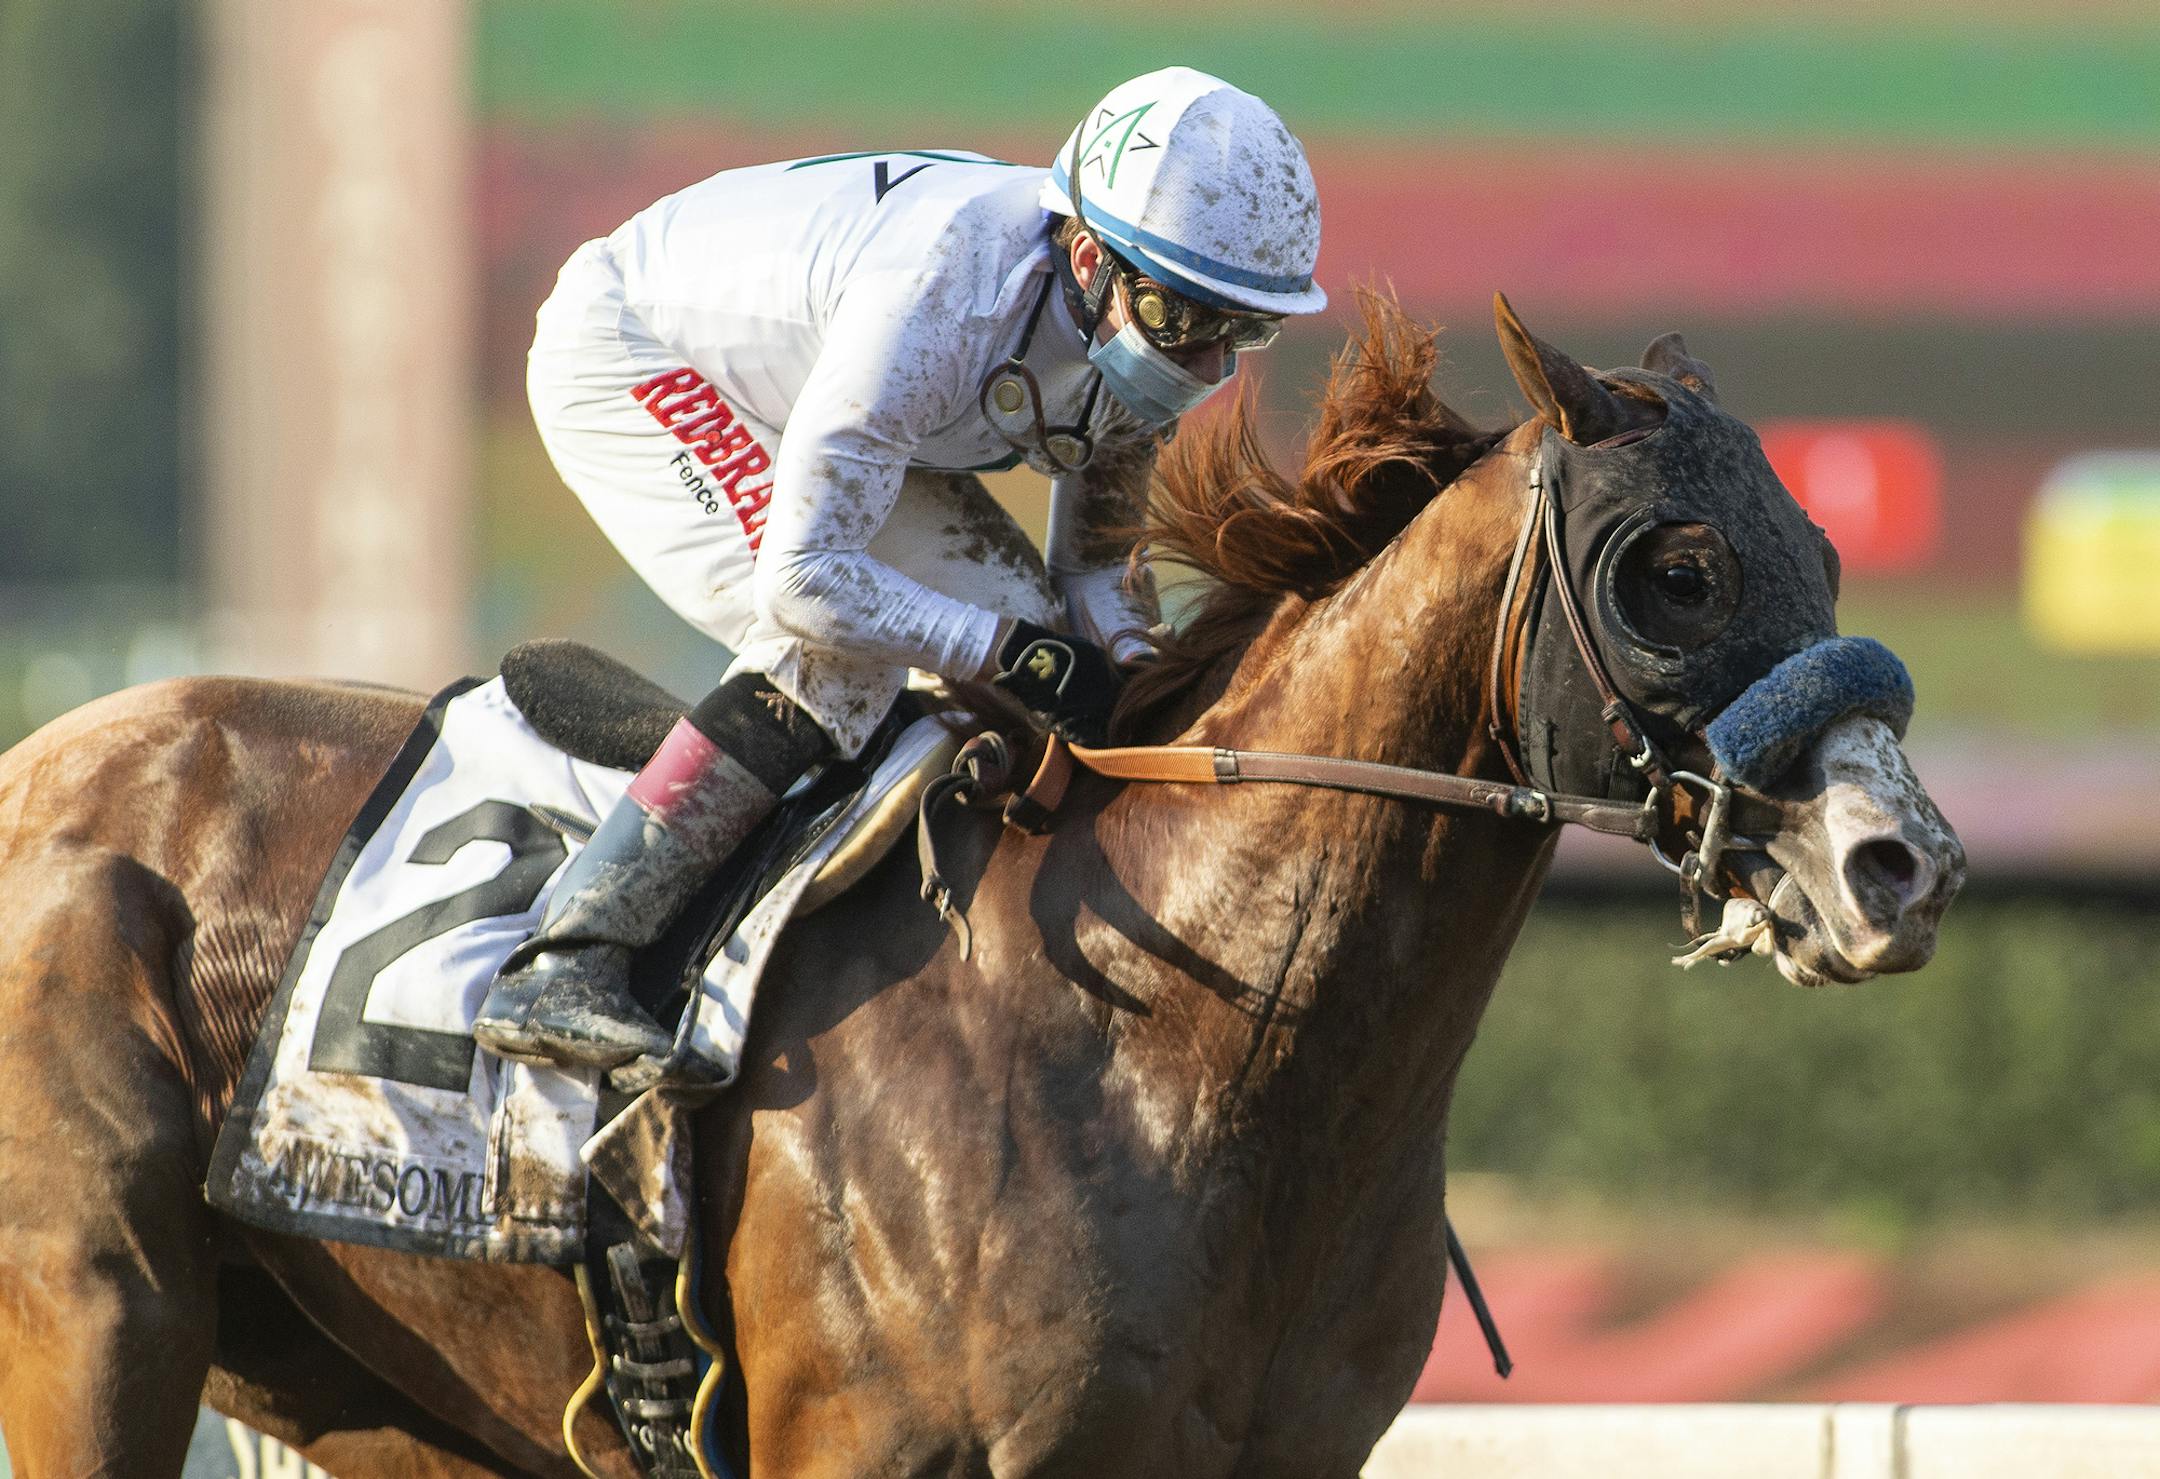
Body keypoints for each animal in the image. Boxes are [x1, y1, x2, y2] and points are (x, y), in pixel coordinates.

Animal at [0, 294, 1962, 1477]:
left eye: (1824, 543)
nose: (1905, 866)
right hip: (96, 1317)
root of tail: (47, 760)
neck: (1190, 1042)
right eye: (1678, 569)